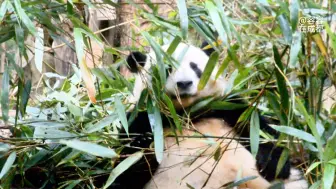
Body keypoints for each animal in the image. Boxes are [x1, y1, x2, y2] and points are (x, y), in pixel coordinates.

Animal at [113, 41, 310, 189]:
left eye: (195, 67)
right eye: (167, 68)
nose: (184, 83)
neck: (186, 115)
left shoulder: (225, 106)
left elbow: (259, 130)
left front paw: (272, 162)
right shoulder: (141, 118)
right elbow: (127, 167)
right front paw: (144, 144)